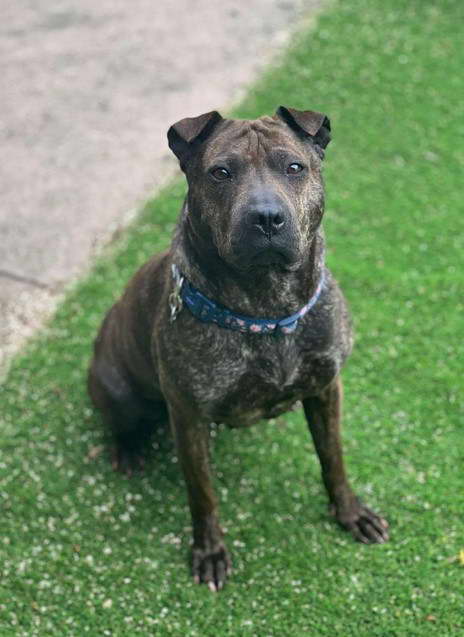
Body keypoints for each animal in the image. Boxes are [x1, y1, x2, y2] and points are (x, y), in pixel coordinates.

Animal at [87, 105, 388, 592]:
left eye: (294, 167)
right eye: (220, 172)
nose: (266, 217)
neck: (267, 311)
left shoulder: (326, 389)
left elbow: (334, 459)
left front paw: (350, 512)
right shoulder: (188, 417)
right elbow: (202, 494)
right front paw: (209, 551)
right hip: (117, 388)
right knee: (122, 421)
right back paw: (129, 449)